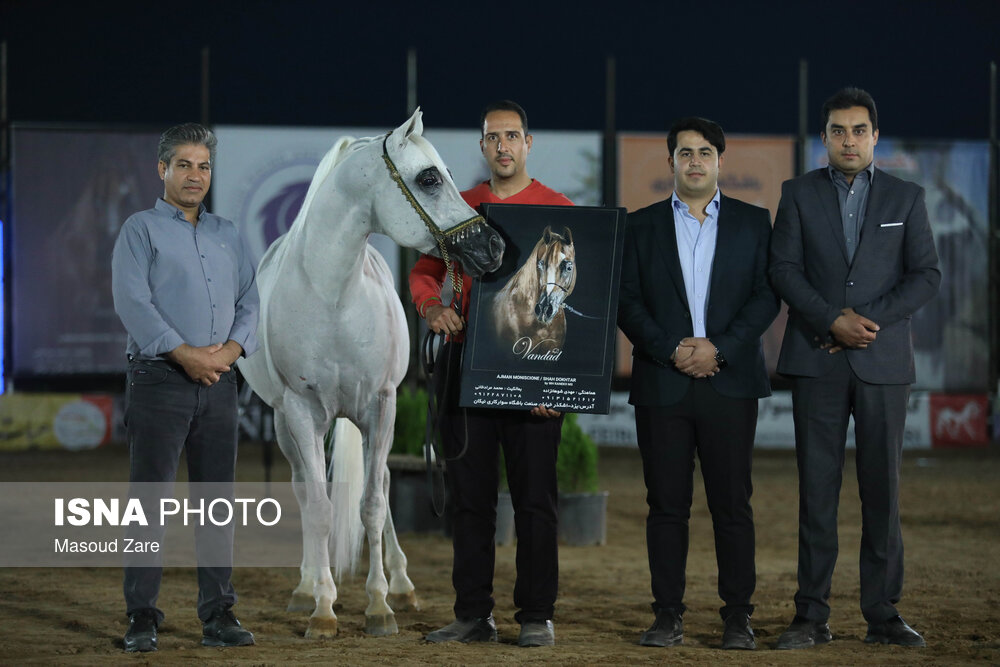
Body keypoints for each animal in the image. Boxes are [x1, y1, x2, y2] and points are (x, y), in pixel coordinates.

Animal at [238, 109, 504, 636]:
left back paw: (400, 584)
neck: (333, 296)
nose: (494, 246)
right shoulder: (300, 411)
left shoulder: (382, 405)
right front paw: (323, 607)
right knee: (304, 490)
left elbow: (374, 505)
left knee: (377, 487)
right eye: (429, 178)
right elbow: (320, 508)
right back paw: (305, 587)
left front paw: (379, 604)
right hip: (285, 423)